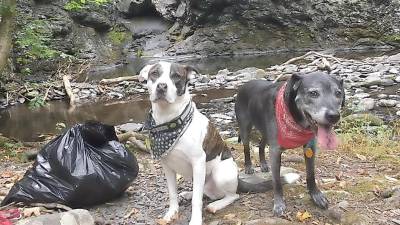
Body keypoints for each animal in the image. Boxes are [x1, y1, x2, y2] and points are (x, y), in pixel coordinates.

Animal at [139, 61, 298, 225]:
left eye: (176, 76)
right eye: (154, 74)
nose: (161, 86)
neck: (170, 121)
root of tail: (237, 179)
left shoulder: (198, 163)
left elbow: (197, 200)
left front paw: (195, 220)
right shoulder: (167, 167)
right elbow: (172, 194)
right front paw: (172, 213)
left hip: (220, 173)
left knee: (231, 195)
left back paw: (216, 205)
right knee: (203, 192)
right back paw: (189, 194)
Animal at [236, 72, 346, 216]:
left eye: (338, 93)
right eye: (313, 93)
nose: (333, 116)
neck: (296, 122)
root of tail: (245, 85)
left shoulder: (310, 147)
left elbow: (310, 174)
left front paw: (316, 196)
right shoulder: (275, 151)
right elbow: (277, 182)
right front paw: (279, 204)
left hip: (265, 132)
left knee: (261, 145)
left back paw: (264, 164)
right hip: (245, 129)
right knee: (246, 148)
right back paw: (249, 166)